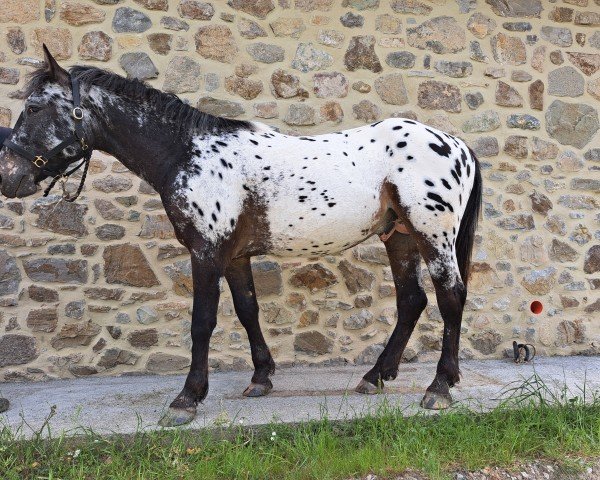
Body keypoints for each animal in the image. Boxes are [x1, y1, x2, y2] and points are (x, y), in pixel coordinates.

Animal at [0, 47, 480, 426]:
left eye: (36, 108)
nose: (9, 177)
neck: (189, 153)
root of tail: (456, 144)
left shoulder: (206, 254)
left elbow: (202, 322)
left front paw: (186, 400)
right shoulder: (234, 257)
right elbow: (248, 311)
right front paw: (260, 378)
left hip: (431, 236)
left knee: (450, 297)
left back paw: (438, 388)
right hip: (399, 237)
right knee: (411, 302)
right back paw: (375, 377)